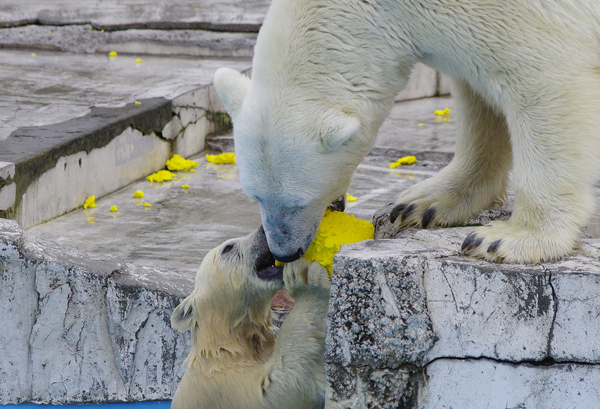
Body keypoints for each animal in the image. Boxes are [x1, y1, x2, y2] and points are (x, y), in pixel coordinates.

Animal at [214, 0, 600, 262]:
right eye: (254, 196)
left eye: (299, 201)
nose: (284, 252)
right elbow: (478, 98)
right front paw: (422, 205)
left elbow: (545, 81)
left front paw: (506, 239)